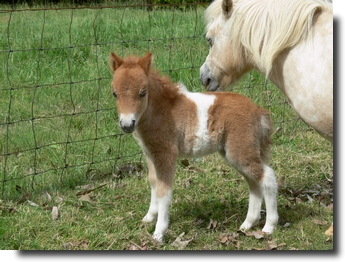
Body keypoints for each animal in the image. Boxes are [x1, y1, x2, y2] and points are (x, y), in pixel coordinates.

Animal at [109, 52, 278, 243]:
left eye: (143, 92)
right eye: (114, 93)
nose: (127, 124)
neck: (161, 111)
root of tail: (259, 111)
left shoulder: (166, 153)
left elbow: (163, 190)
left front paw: (159, 233)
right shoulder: (150, 154)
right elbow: (153, 182)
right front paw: (149, 217)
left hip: (240, 150)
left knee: (267, 177)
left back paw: (269, 226)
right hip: (235, 152)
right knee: (254, 183)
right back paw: (248, 224)